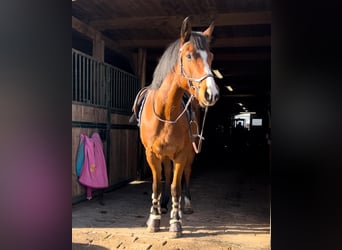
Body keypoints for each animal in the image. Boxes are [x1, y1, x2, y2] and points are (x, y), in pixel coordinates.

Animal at [137, 16, 219, 237]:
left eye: (211, 57)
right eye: (189, 55)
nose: (211, 94)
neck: (165, 114)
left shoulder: (182, 154)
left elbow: (176, 186)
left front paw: (176, 223)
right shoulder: (151, 154)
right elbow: (157, 185)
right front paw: (154, 219)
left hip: (189, 153)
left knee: (186, 176)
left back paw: (185, 206)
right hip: (165, 155)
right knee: (167, 173)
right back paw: (164, 206)